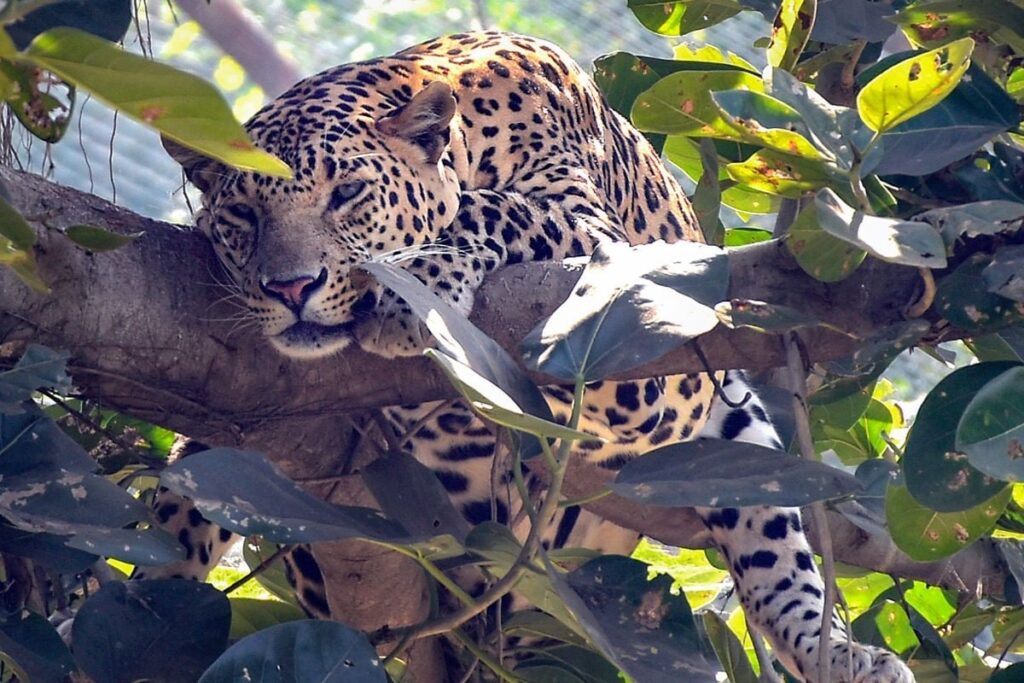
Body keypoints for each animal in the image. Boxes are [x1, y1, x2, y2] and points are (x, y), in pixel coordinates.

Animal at [148, 31, 914, 682]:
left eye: (348, 194)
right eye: (242, 216)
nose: (290, 287)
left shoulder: (625, 312)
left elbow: (497, 208)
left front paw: (416, 284)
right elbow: (175, 516)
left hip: (727, 424)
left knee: (779, 564)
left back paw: (845, 656)